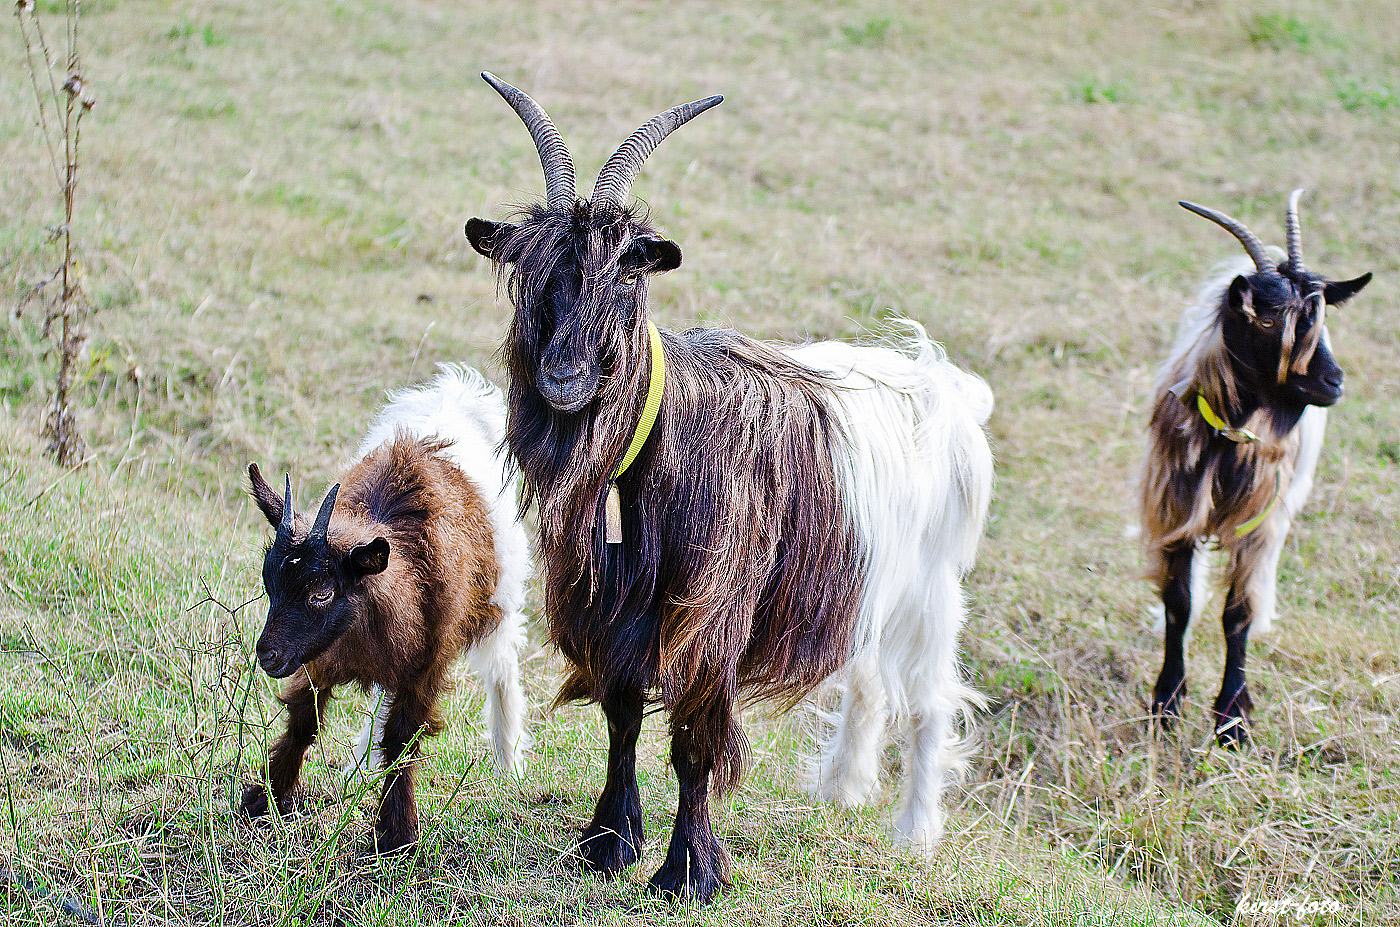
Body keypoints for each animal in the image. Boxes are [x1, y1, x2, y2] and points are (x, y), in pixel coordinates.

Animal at [240, 366, 529, 851]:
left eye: (323, 591)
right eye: (269, 581)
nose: (267, 654)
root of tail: (458, 392)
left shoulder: (426, 662)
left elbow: (401, 739)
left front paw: (396, 832)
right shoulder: (320, 653)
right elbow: (304, 720)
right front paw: (266, 800)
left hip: (500, 598)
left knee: (503, 667)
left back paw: (509, 764)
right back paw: (359, 762)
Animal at [464, 76, 991, 901]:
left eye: (626, 279)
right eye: (535, 277)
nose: (563, 377)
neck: (650, 454)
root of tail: (944, 381)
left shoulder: (710, 611)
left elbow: (694, 744)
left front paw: (687, 871)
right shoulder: (618, 607)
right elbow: (621, 717)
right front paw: (610, 840)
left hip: (933, 584)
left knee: (931, 699)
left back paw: (915, 832)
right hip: (863, 573)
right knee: (869, 679)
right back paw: (841, 790)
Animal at [1142, 191, 1372, 750]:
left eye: (1319, 319)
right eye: (1267, 322)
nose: (1334, 381)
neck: (1231, 437)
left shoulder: (1261, 523)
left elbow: (1238, 614)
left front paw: (1232, 720)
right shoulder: (1176, 506)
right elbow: (1179, 602)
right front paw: (1166, 703)